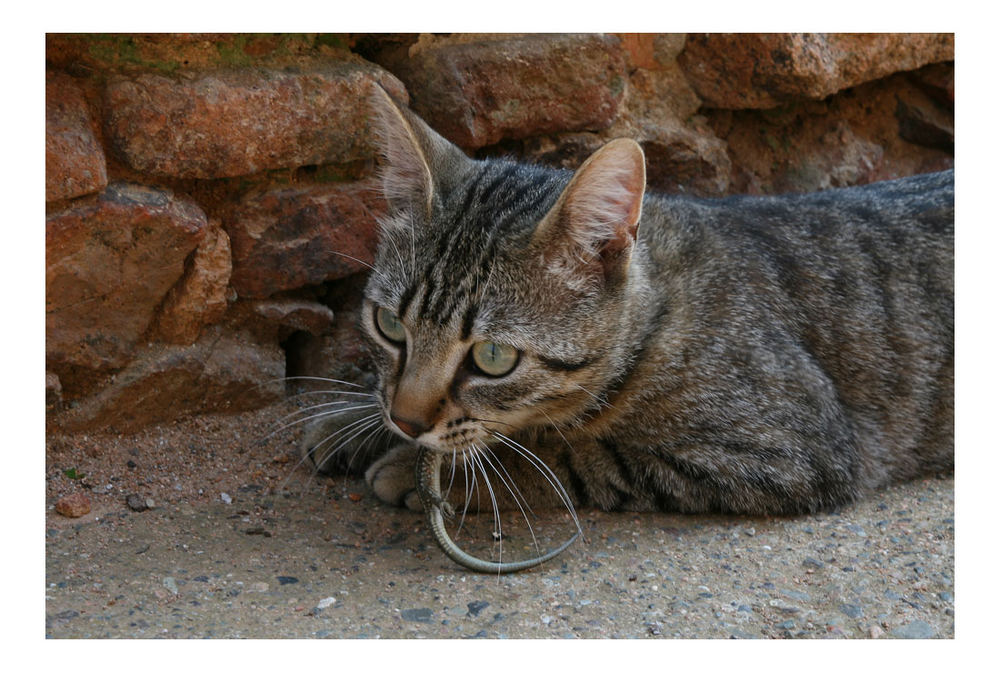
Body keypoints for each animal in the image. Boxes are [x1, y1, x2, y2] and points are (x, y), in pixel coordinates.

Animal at [302, 88, 952, 516]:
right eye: (389, 325)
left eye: (493, 359)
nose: (407, 422)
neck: (657, 318)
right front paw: (352, 420)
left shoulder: (794, 451)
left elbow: (569, 455)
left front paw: (427, 471)